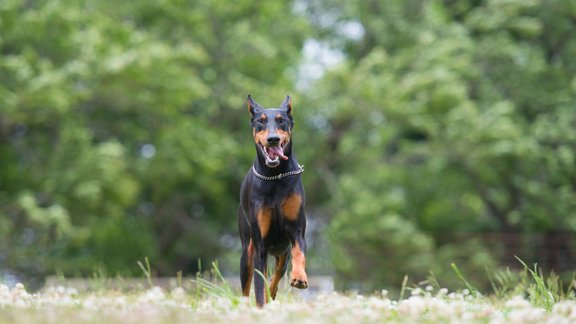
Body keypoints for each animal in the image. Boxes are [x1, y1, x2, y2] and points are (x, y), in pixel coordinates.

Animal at [238, 95, 308, 308]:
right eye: (260, 121)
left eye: (281, 120)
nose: (273, 139)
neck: (275, 176)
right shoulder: (260, 245)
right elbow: (258, 286)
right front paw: (261, 308)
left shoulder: (296, 231)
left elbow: (299, 253)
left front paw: (299, 277)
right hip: (247, 251)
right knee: (247, 286)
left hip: (282, 251)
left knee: (278, 273)